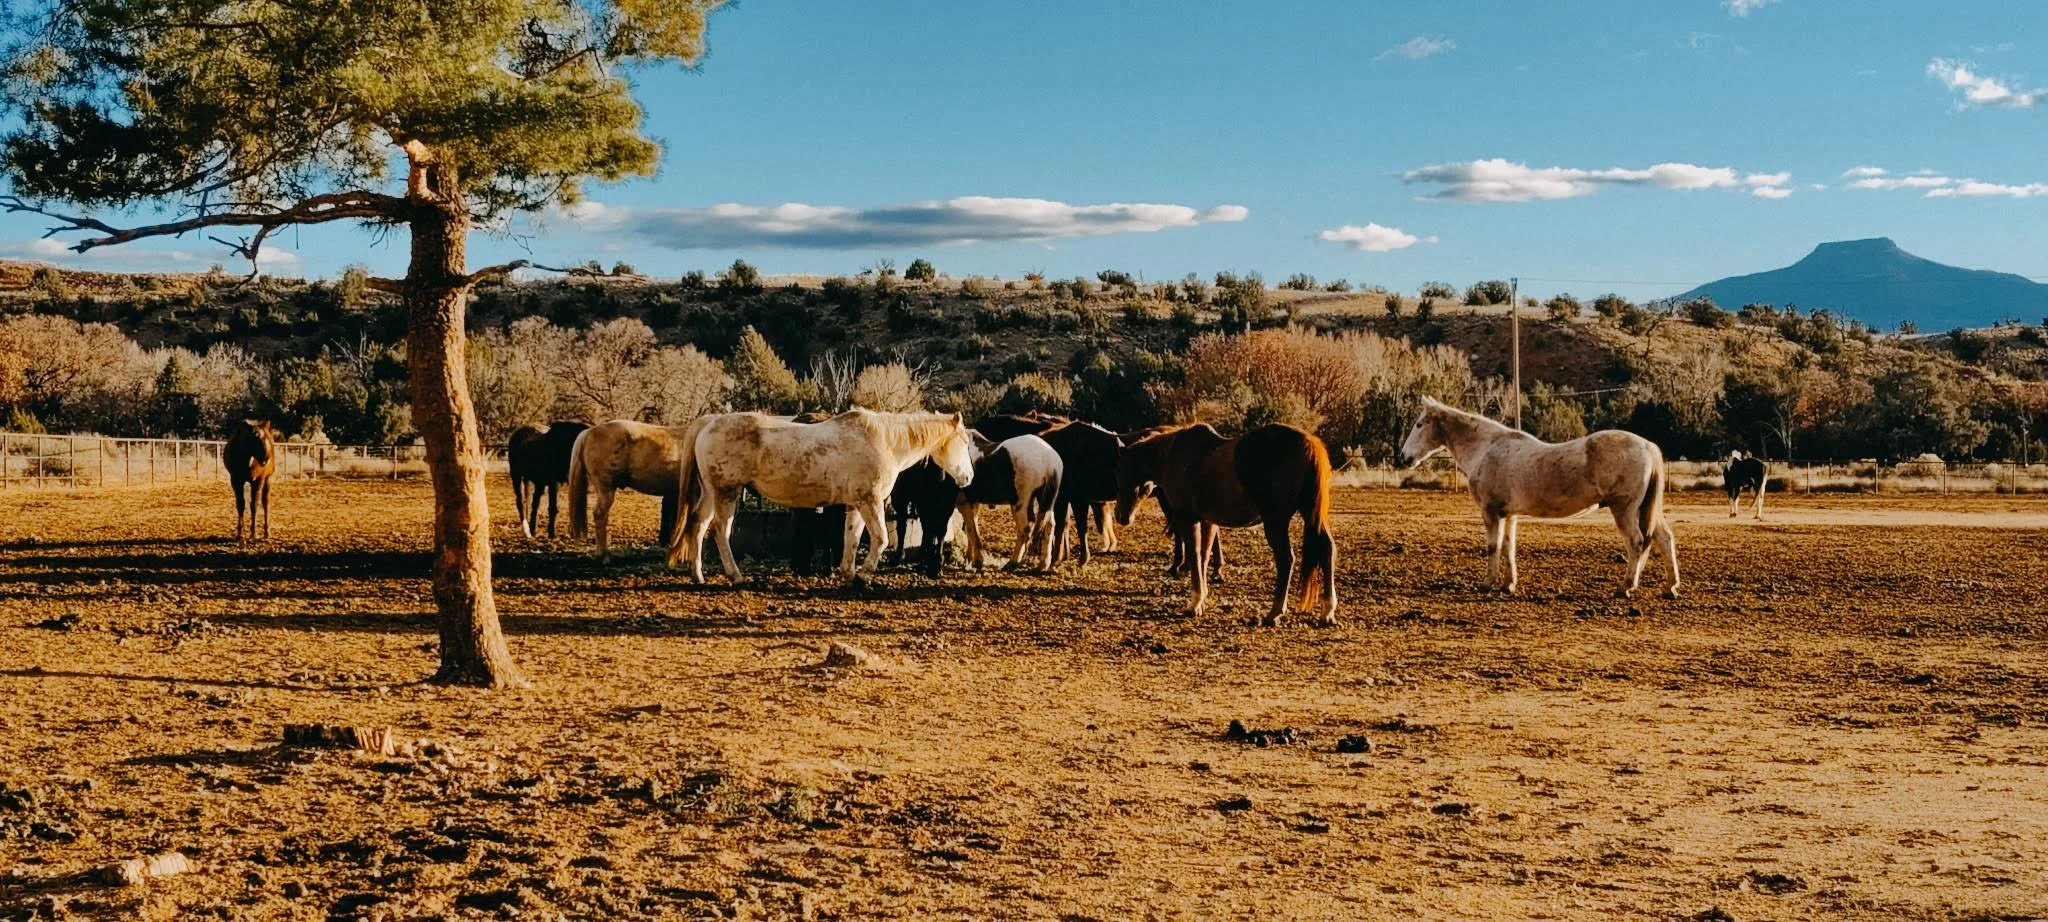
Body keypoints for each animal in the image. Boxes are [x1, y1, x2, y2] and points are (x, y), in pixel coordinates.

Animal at [668, 409, 977, 582]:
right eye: (963, 441)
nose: (968, 477)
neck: (885, 442)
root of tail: (710, 422)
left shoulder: (856, 505)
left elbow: (852, 539)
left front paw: (848, 573)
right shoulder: (871, 502)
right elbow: (881, 539)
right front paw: (864, 575)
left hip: (712, 494)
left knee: (698, 527)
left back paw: (698, 575)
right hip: (726, 494)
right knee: (720, 532)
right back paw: (736, 576)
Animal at [956, 434, 1065, 572]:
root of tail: (1050, 459)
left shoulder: (963, 502)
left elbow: (970, 529)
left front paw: (976, 561)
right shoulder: (973, 502)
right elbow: (971, 528)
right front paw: (970, 560)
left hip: (1020, 504)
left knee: (1025, 529)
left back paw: (1013, 562)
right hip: (1045, 501)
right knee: (1049, 525)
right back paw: (1043, 564)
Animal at [1116, 424, 1338, 627]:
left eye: (1121, 472)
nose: (1121, 516)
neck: (1174, 455)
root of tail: (1309, 444)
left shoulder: (1187, 518)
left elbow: (1194, 556)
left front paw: (1194, 603)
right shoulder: (1207, 521)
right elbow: (1203, 557)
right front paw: (1202, 599)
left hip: (1276, 521)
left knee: (1286, 559)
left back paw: (1274, 613)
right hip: (1310, 515)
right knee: (1327, 549)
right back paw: (1327, 611)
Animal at [1400, 396, 1679, 599]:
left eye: (1418, 424)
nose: (1404, 457)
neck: (1487, 448)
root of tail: (1648, 446)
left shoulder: (1490, 512)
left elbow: (1493, 547)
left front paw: (1488, 582)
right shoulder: (1509, 515)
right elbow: (1508, 547)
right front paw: (1508, 584)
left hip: (1624, 509)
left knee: (1637, 542)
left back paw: (1626, 587)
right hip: (1644, 509)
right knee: (1663, 538)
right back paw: (1669, 588)